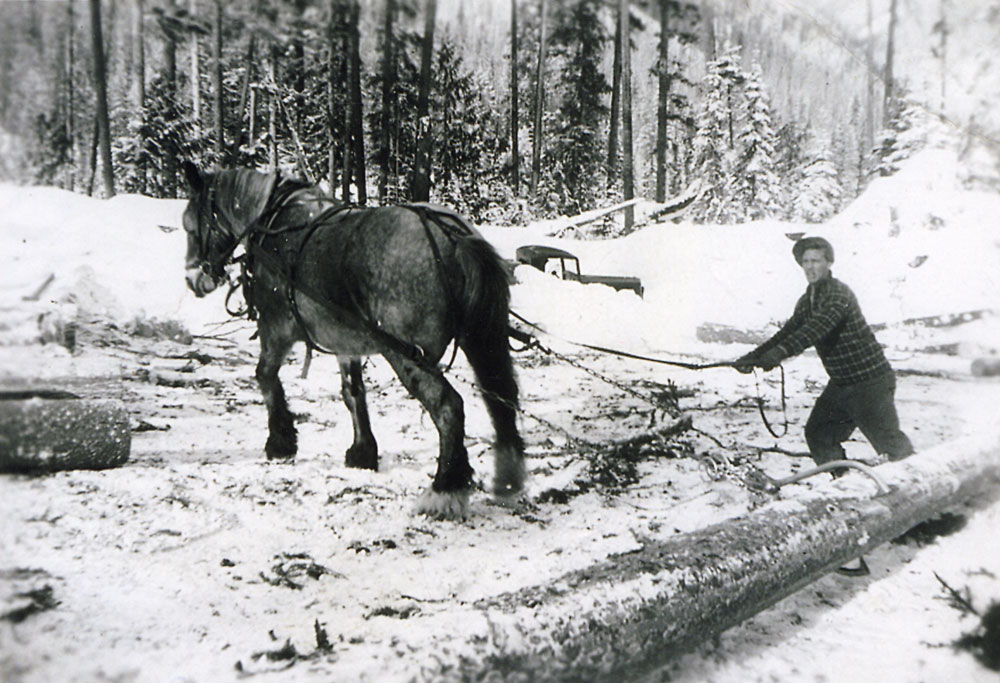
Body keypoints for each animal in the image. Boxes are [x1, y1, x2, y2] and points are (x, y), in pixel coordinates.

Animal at [182, 164, 524, 520]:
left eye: (190, 226)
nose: (193, 278)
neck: (274, 223)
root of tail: (454, 237)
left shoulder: (276, 328)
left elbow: (265, 376)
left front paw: (281, 441)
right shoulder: (346, 341)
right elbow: (353, 393)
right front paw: (363, 452)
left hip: (405, 354)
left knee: (448, 407)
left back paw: (445, 488)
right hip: (480, 338)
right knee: (502, 400)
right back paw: (507, 478)